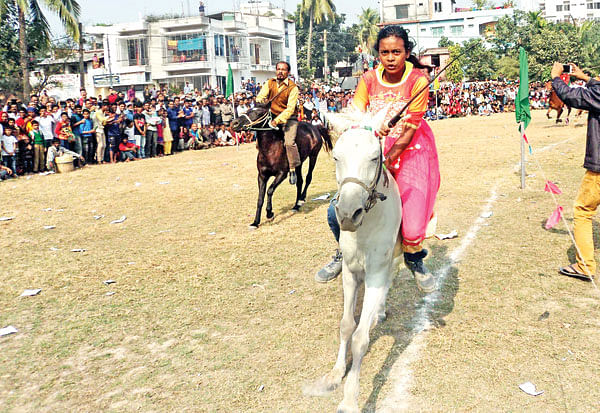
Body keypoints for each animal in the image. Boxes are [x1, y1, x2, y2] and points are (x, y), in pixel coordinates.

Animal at [304, 110, 404, 412]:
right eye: (336, 157)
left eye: (374, 157)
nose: (348, 214)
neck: (366, 228)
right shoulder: (351, 272)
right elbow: (347, 325)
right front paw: (335, 375)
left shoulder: (374, 274)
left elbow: (360, 339)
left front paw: (350, 399)